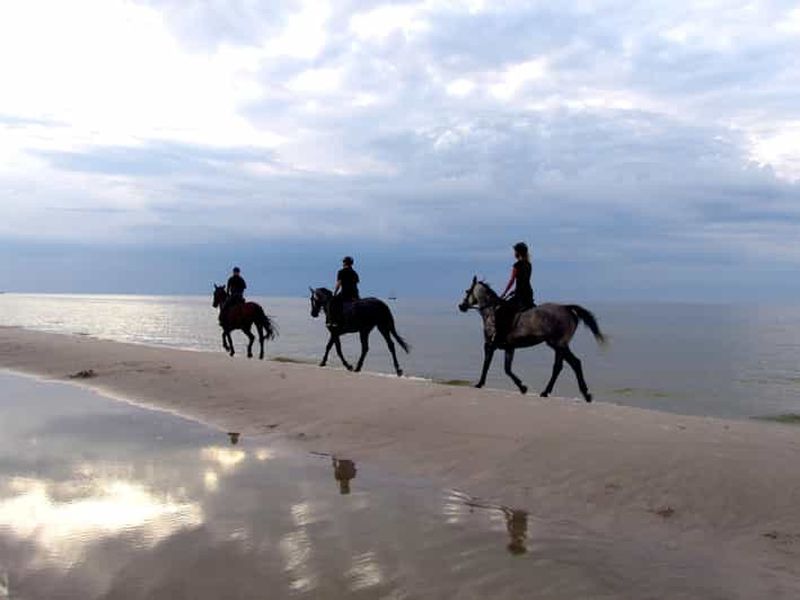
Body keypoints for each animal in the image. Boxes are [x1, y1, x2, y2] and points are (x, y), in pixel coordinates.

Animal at [458, 276, 605, 402]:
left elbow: (487, 364)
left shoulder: (490, 345)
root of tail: (566, 308)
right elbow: (507, 369)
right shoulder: (509, 348)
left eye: (467, 291)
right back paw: (569, 393)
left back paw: (574, 393)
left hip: (558, 344)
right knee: (566, 365)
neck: (492, 312)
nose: (461, 306)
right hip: (559, 345)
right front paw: (522, 387)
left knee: (570, 364)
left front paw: (479, 384)